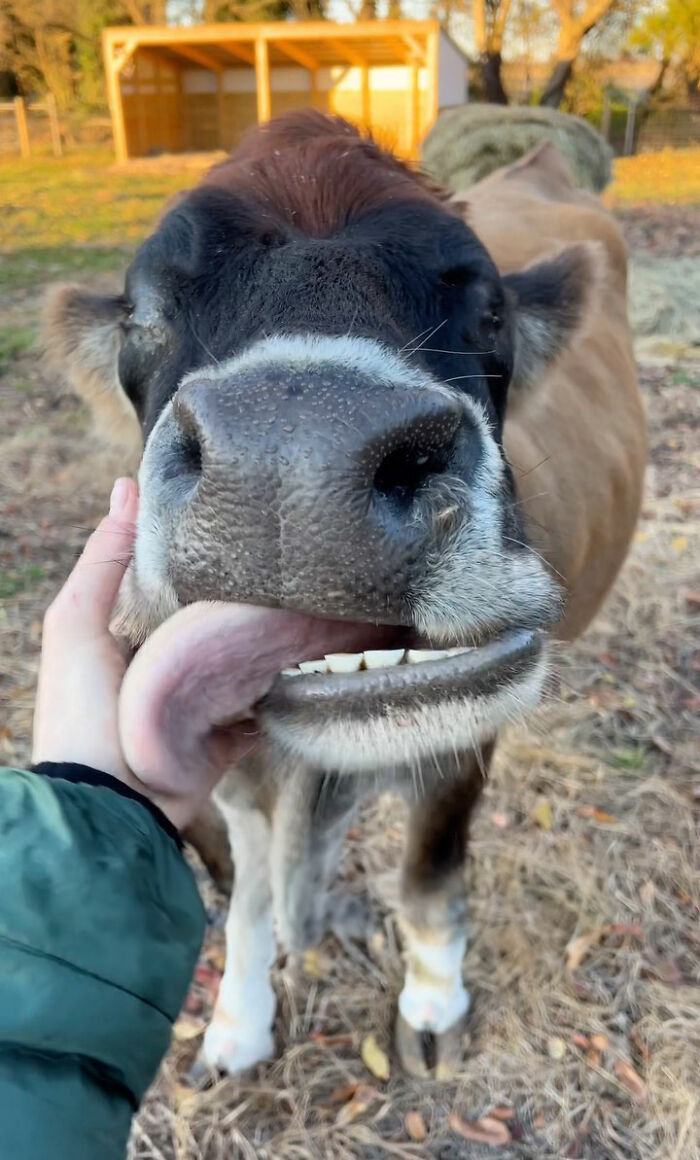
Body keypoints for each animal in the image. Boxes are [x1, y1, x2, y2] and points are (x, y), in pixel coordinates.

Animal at [44, 110, 647, 1080]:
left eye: (491, 307)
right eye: (142, 312)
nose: (291, 456)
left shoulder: (466, 722)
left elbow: (430, 873)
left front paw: (433, 1007)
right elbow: (247, 886)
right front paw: (238, 1022)